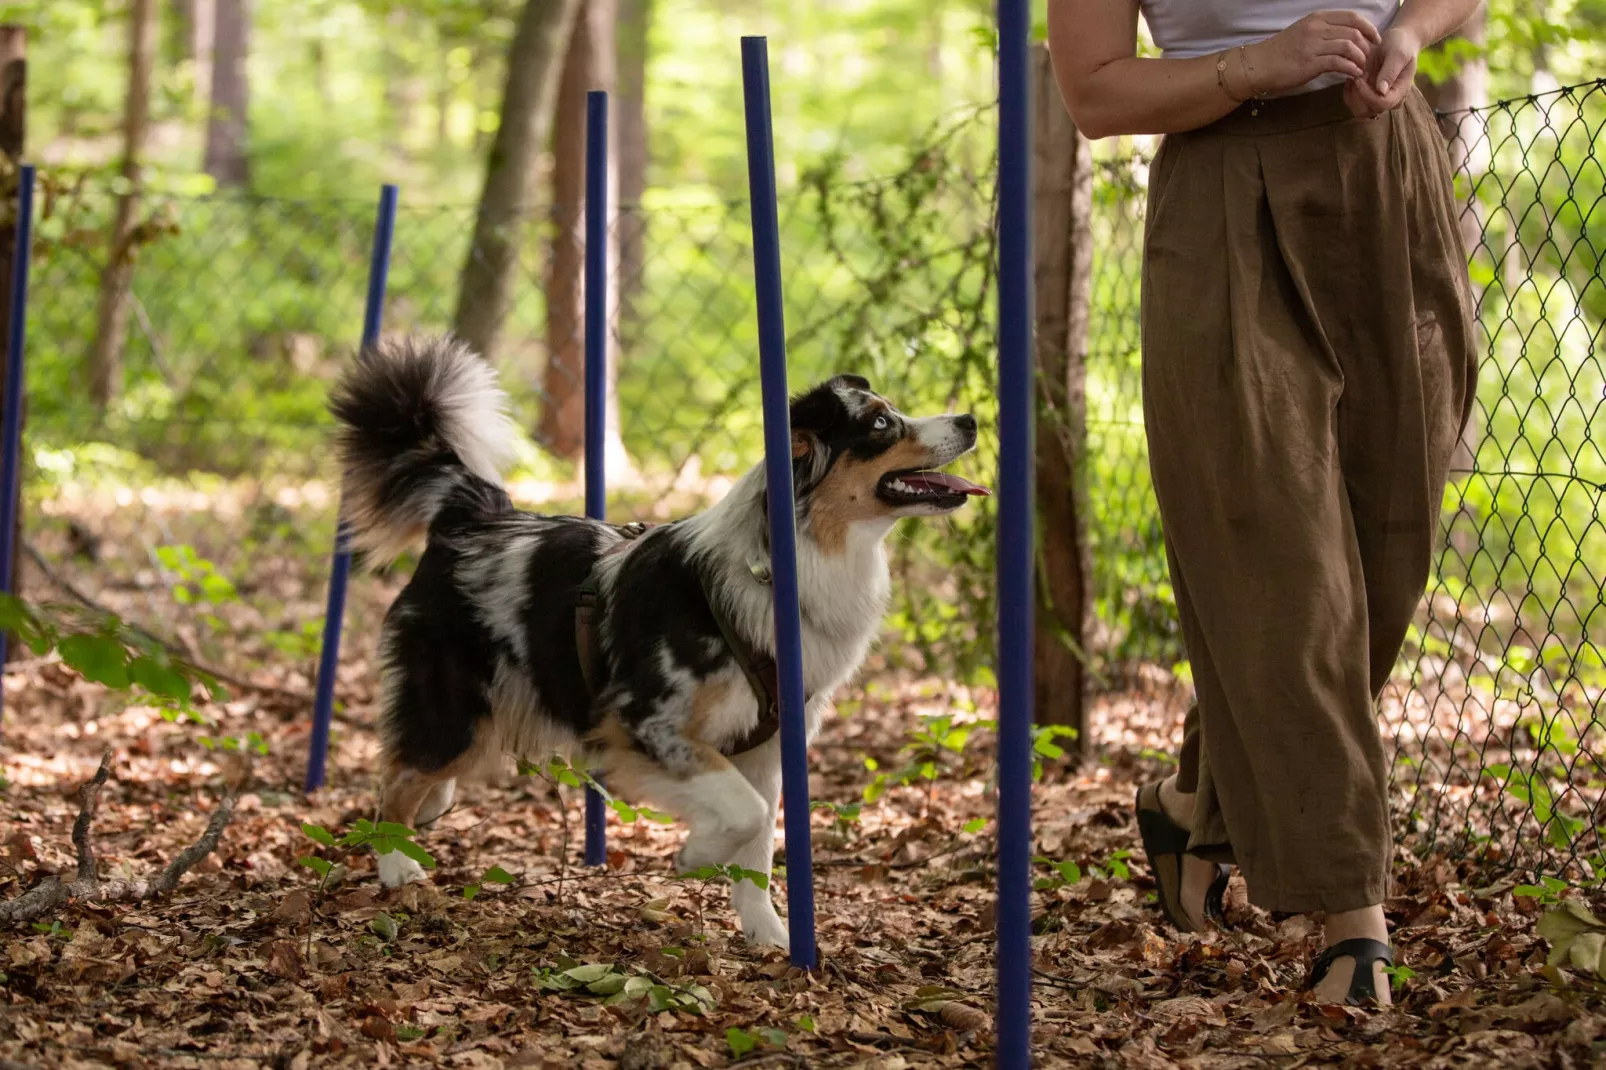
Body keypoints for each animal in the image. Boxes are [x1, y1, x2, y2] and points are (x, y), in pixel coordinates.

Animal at [330, 337, 982, 944]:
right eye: (880, 424)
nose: (972, 419)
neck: (777, 566)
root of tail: (472, 516)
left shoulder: (766, 748)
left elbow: (759, 845)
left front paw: (767, 936)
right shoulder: (646, 724)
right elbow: (744, 813)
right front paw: (697, 855)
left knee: (419, 772)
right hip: (454, 708)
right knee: (393, 781)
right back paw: (396, 866)